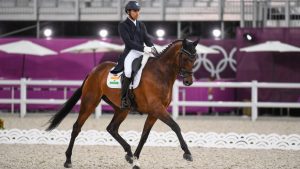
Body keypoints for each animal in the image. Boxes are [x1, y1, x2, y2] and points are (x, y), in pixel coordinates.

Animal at [46, 38, 199, 169]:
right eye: (186, 58)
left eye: (195, 58)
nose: (188, 82)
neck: (160, 73)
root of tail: (94, 71)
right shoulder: (157, 109)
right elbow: (175, 126)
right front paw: (187, 153)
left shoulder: (154, 112)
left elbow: (144, 136)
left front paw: (136, 160)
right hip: (90, 102)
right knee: (77, 127)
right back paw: (68, 160)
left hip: (121, 109)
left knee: (112, 128)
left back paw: (129, 154)